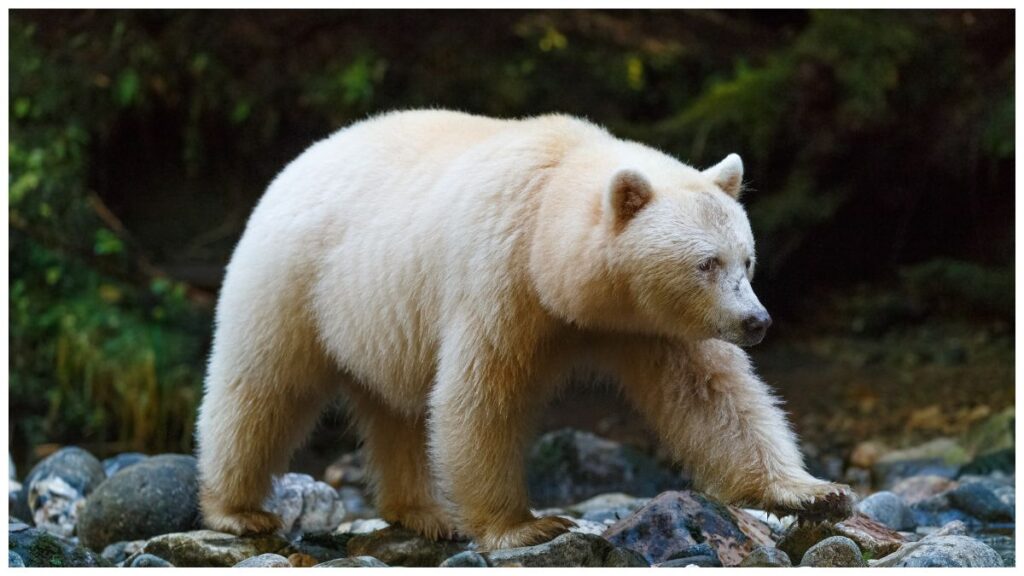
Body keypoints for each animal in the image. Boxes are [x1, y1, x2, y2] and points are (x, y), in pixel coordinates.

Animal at [196, 109, 852, 550]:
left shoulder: (651, 324)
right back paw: (239, 510)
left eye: (747, 259)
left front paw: (816, 493)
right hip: (294, 280)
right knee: (264, 388)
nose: (756, 322)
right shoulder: (501, 277)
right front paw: (524, 526)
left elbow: (712, 397)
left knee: (395, 409)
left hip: (377, 315)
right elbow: (481, 395)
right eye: (706, 263)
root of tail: (295, 164)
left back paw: (424, 512)